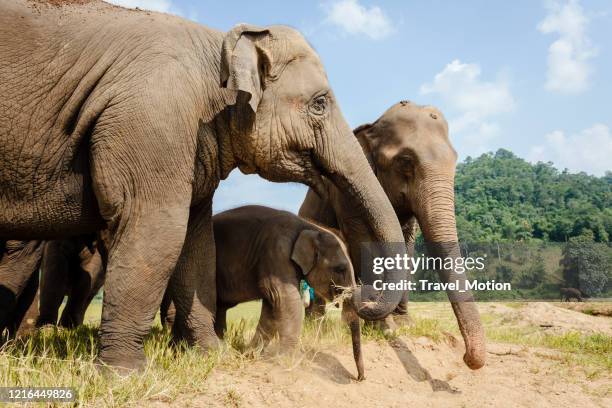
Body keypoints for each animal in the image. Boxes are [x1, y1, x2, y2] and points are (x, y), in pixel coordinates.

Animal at [160, 206, 366, 380]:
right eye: (340, 269)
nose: (358, 378)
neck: (308, 226)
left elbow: (272, 304)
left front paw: (250, 354)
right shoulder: (276, 252)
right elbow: (285, 299)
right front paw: (287, 361)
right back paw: (178, 348)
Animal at [298, 99, 486, 370]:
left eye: (455, 159)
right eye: (406, 161)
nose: (466, 358)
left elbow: (406, 246)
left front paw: (404, 325)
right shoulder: (346, 198)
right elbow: (363, 243)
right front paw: (384, 328)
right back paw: (317, 328)